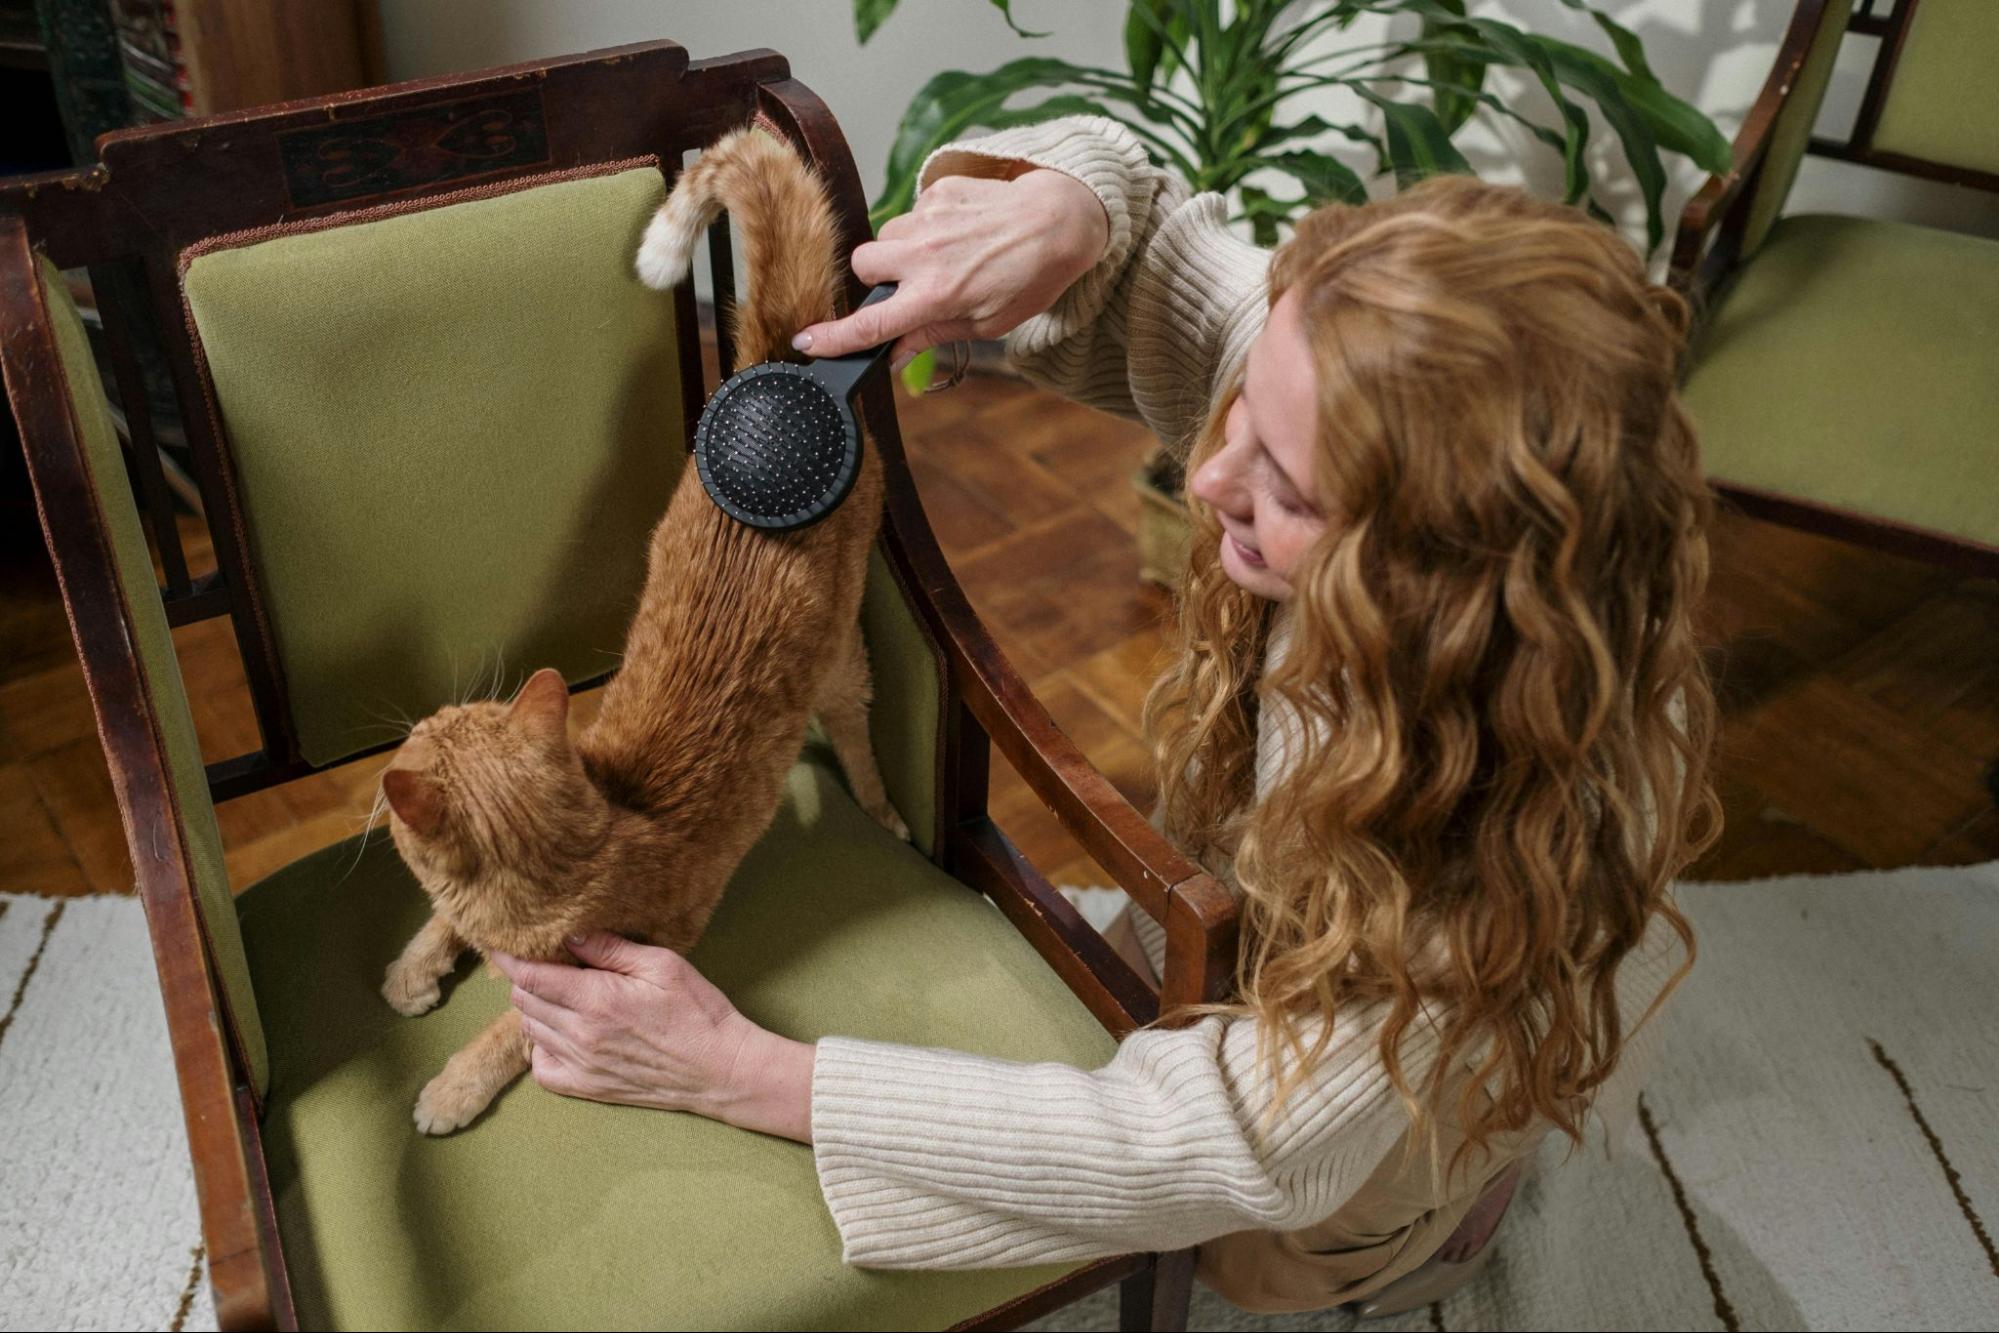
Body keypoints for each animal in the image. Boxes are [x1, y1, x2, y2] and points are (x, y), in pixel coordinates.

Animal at [375, 129, 907, 1135]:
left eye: (424, 732)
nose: (413, 720)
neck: (597, 834)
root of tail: (789, 370)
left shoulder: (612, 965)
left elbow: (511, 1027)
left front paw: (451, 1084)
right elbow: (438, 919)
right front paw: (412, 969)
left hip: (841, 664)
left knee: (859, 735)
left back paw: (884, 807)